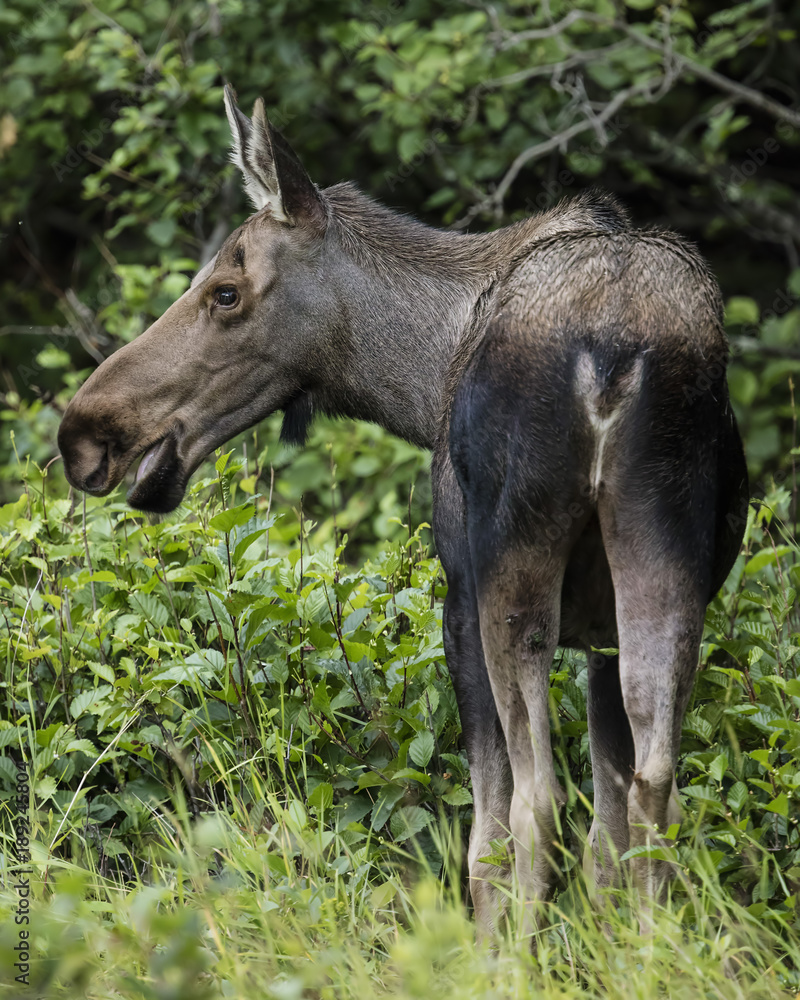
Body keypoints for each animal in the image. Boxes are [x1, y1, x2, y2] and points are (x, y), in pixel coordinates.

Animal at [58, 86, 748, 935]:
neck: (421, 381)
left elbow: (489, 840)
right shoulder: (600, 634)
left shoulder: (458, 597)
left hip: (509, 569)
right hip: (662, 562)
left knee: (535, 806)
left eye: (226, 290)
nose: (87, 432)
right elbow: (610, 836)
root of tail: (615, 354)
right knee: (654, 792)